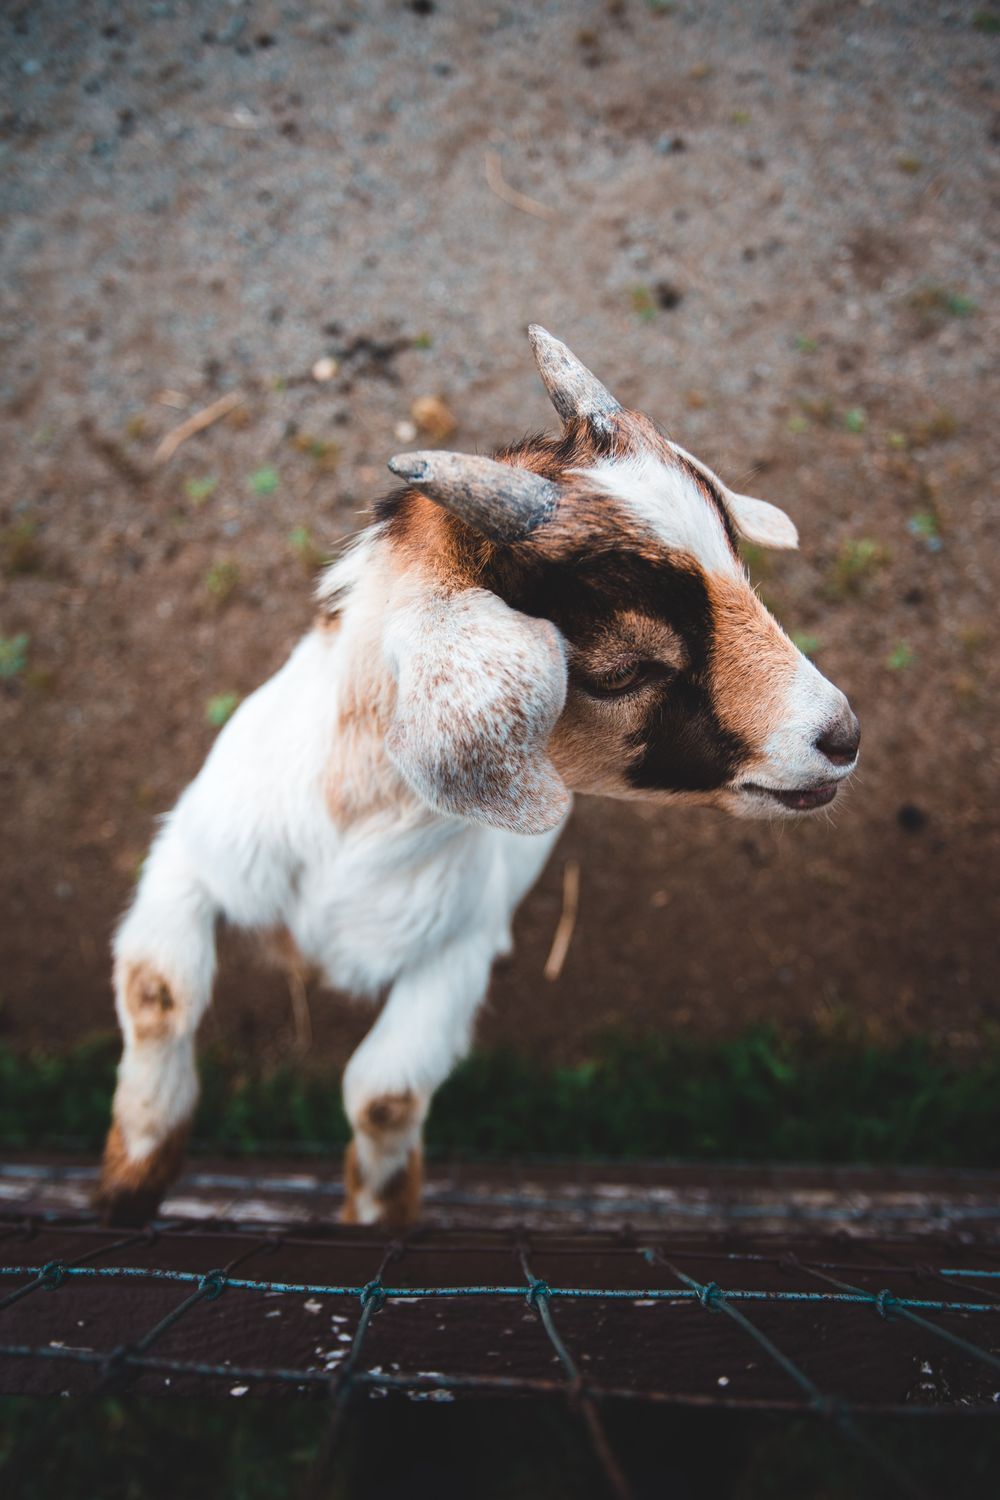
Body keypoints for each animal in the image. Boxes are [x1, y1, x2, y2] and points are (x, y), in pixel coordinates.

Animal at [96, 328, 860, 1227]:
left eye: (742, 573)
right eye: (621, 671)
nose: (840, 736)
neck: (349, 830)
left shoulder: (460, 946)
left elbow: (383, 1094)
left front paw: (379, 1216)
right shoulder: (192, 856)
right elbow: (158, 993)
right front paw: (128, 1184)